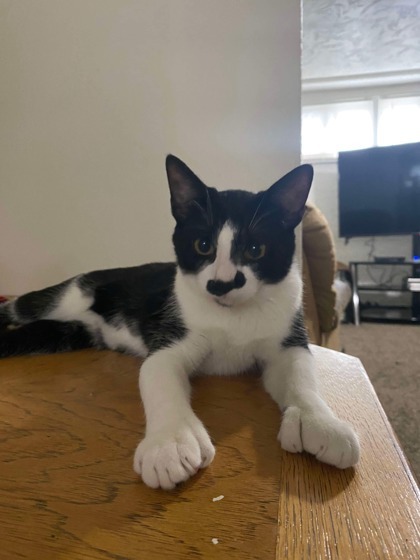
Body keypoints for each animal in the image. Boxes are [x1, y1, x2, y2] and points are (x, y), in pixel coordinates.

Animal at [0, 155, 360, 488]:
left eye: (256, 249)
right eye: (203, 245)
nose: (221, 284)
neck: (233, 317)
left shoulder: (288, 338)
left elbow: (301, 376)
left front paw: (321, 423)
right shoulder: (171, 336)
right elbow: (159, 377)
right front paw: (169, 443)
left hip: (73, 332)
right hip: (67, 295)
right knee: (23, 306)